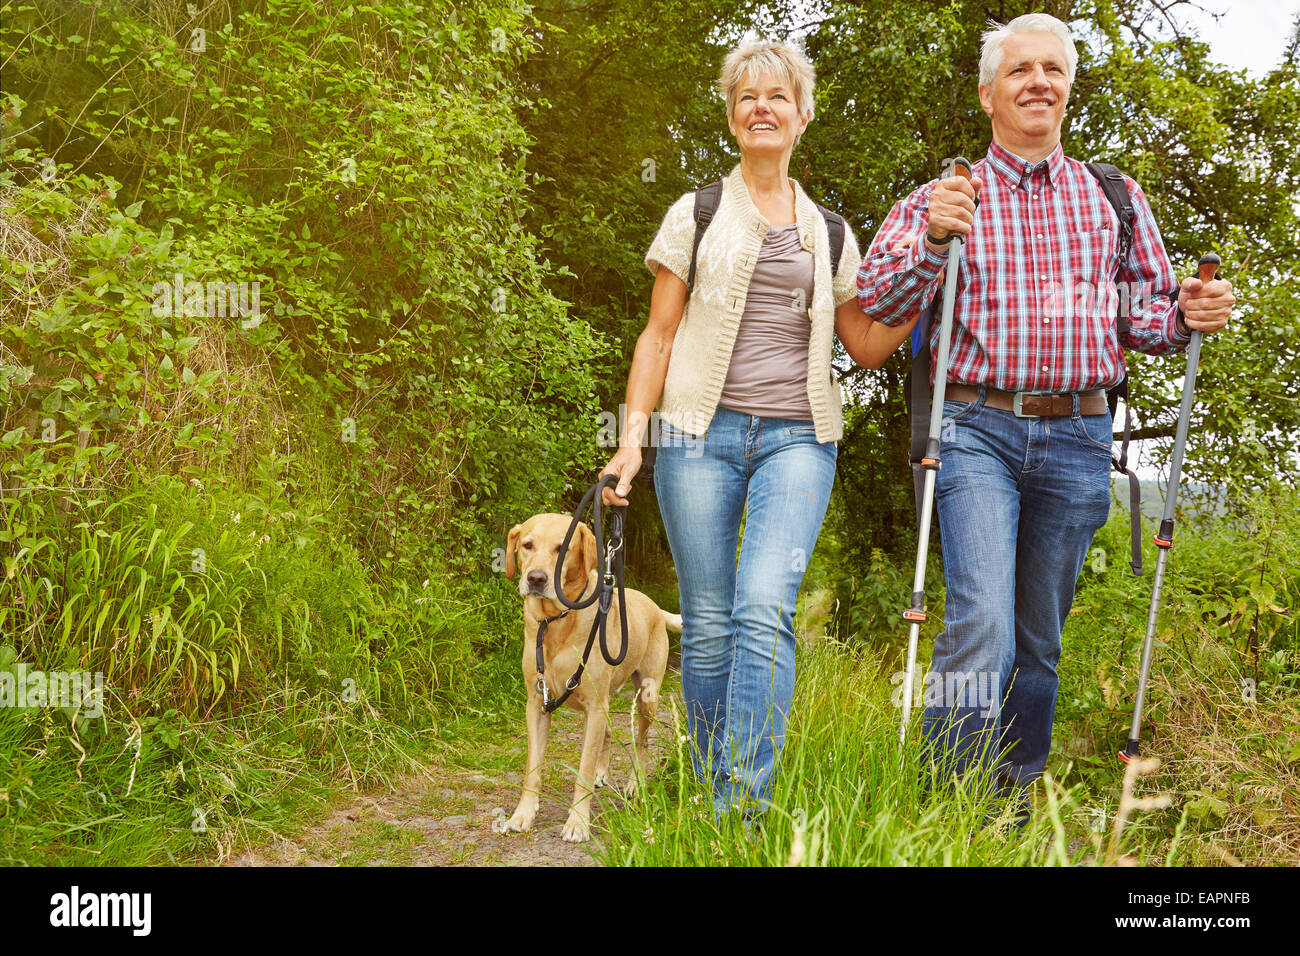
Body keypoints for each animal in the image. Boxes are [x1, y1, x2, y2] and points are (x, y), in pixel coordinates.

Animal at [496, 515, 681, 842]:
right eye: (527, 545)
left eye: (562, 548)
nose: (536, 578)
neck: (556, 622)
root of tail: (655, 607)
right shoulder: (537, 704)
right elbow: (532, 768)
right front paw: (522, 815)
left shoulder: (595, 706)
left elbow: (582, 769)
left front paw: (577, 823)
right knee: (608, 736)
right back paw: (602, 772)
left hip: (646, 697)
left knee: (642, 742)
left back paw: (635, 783)